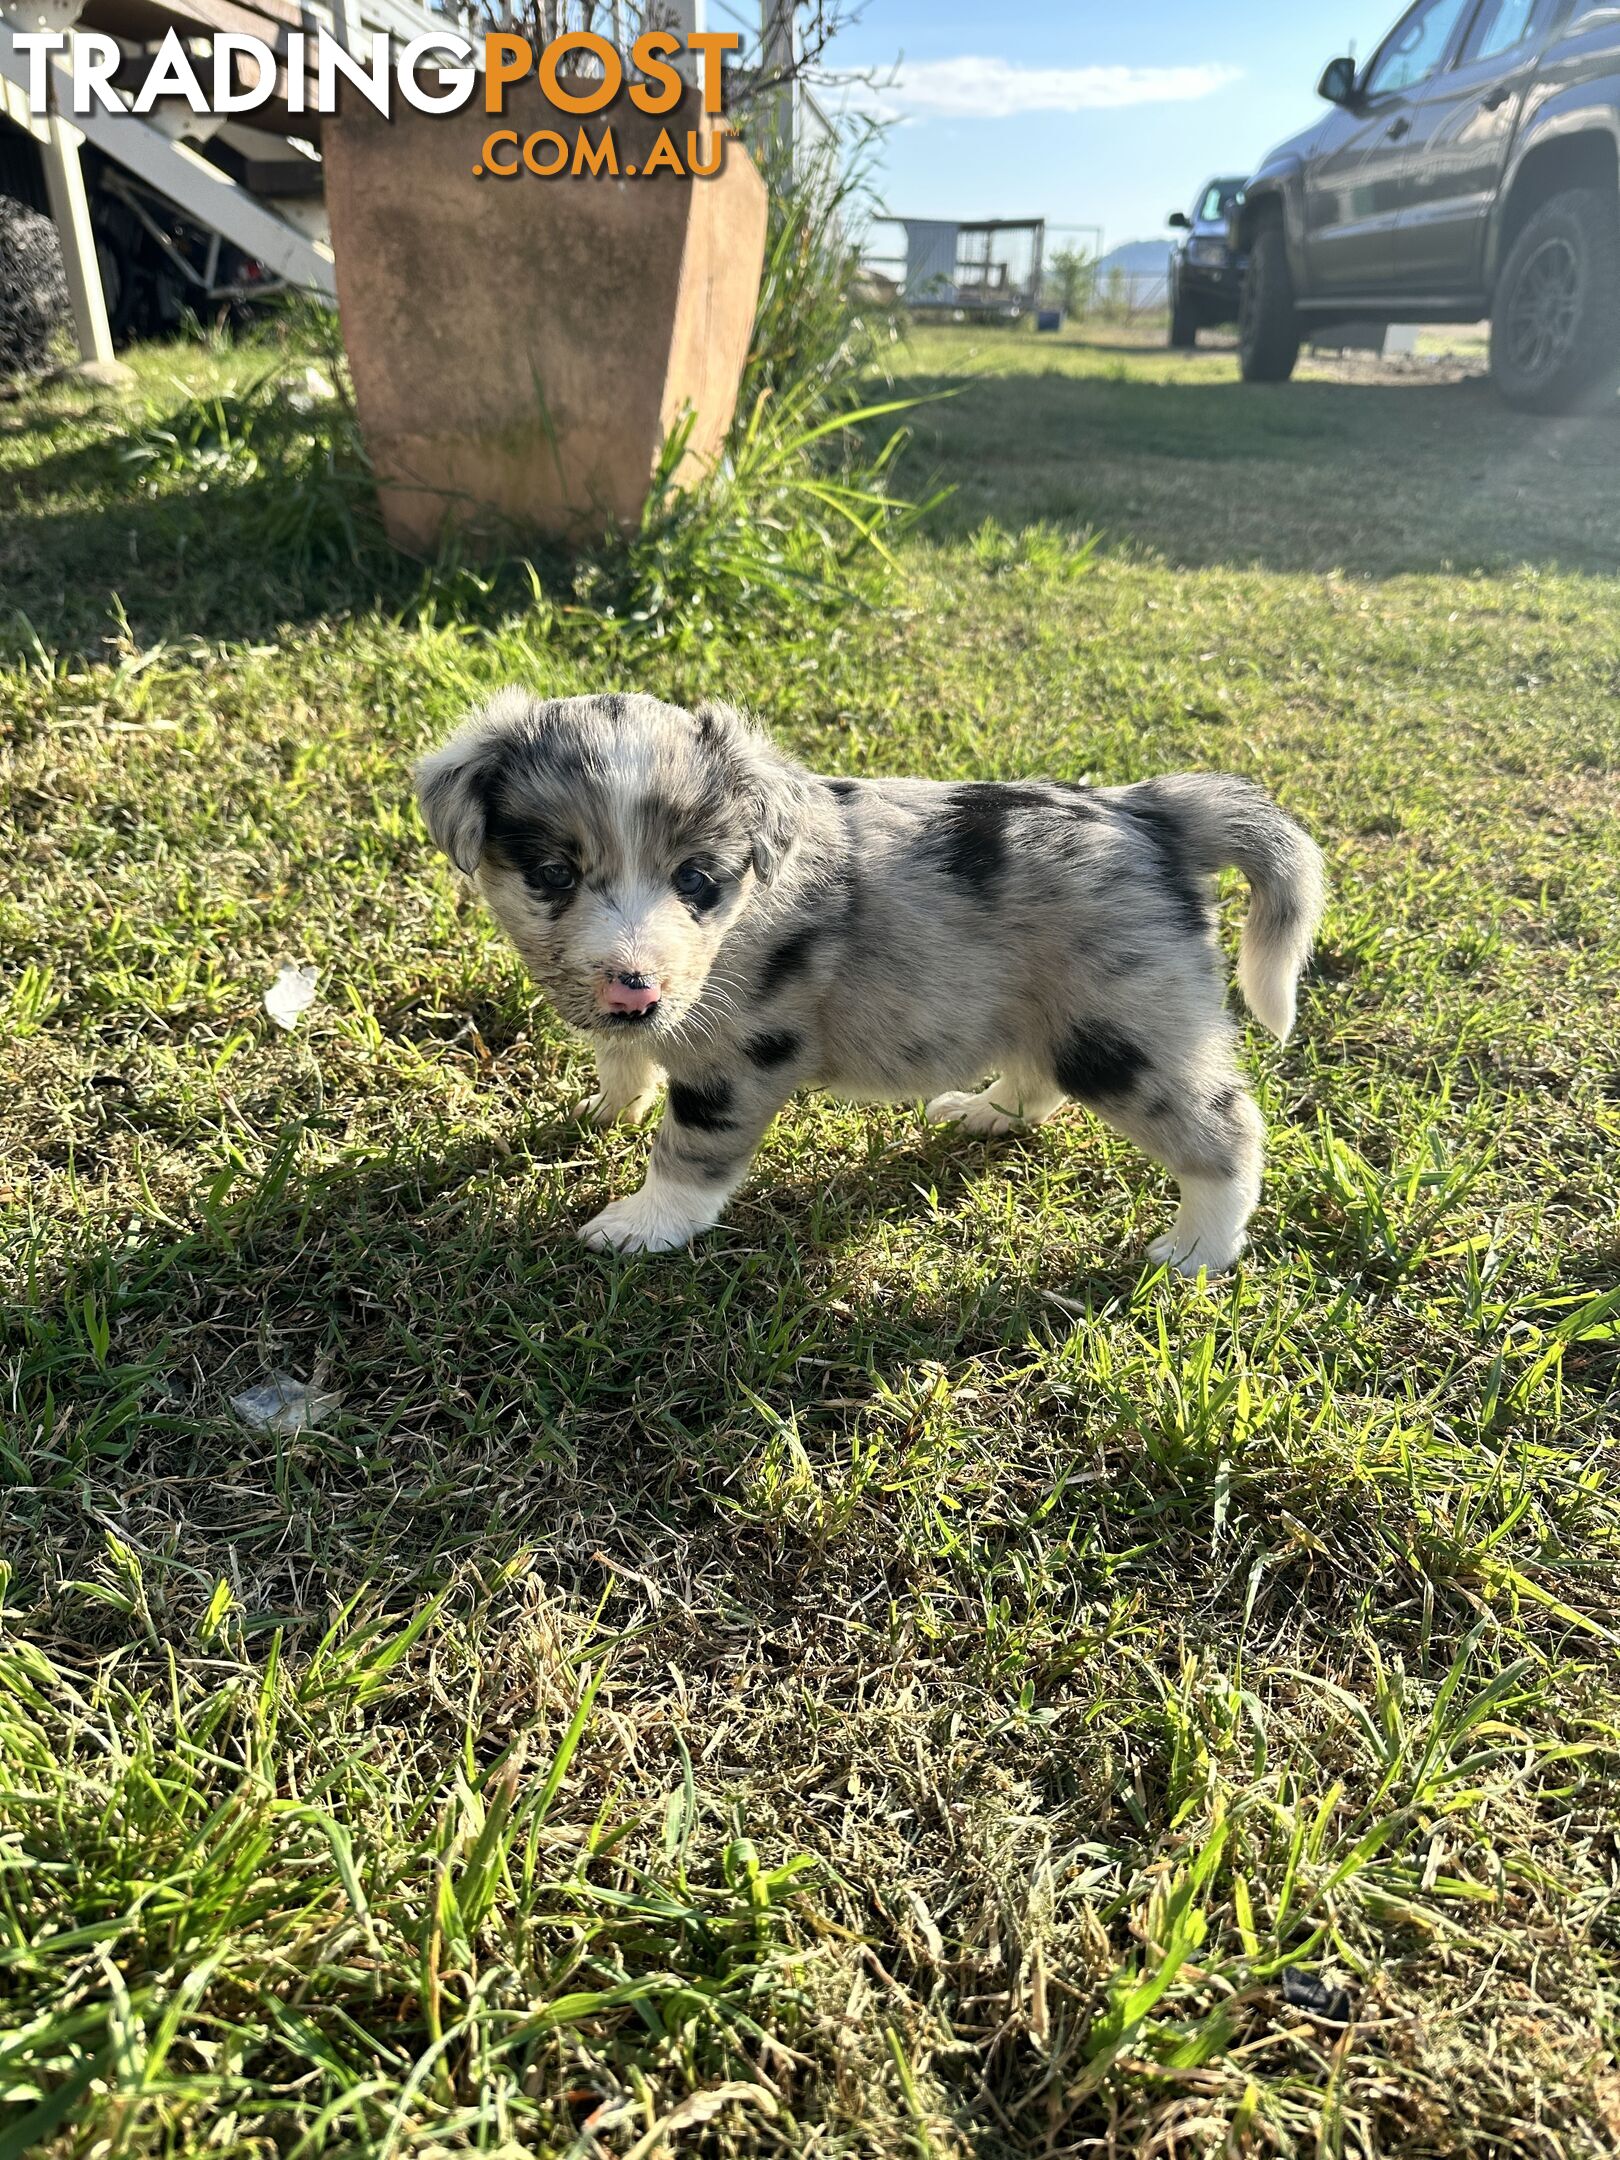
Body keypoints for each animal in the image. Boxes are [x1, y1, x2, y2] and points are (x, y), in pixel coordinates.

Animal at [412, 686, 1321, 1261]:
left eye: (697, 881)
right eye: (553, 875)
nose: (631, 986)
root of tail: (1151, 811)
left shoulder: (736, 1057)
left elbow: (691, 1149)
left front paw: (641, 1225)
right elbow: (621, 1058)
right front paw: (607, 1109)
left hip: (1127, 1027)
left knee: (1228, 1129)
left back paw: (1198, 1248)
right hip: (1052, 1010)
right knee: (1039, 1080)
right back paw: (982, 1113)